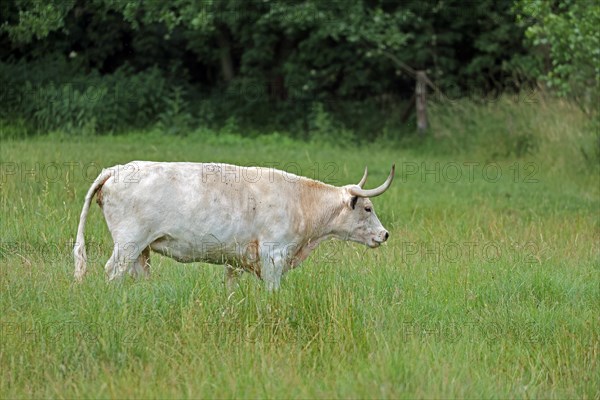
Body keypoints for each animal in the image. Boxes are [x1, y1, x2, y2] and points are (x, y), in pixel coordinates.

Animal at [74, 161, 394, 290]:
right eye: (368, 208)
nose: (385, 234)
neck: (300, 201)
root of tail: (116, 169)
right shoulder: (273, 255)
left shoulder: (237, 259)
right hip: (128, 242)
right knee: (113, 271)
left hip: (143, 249)